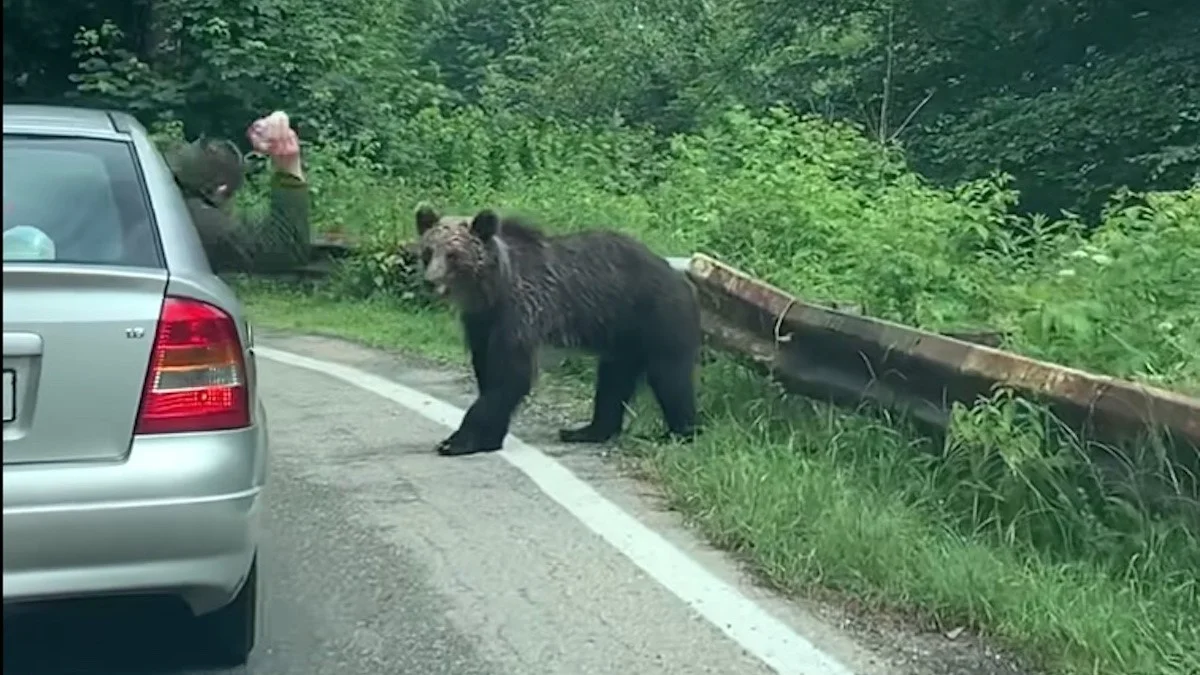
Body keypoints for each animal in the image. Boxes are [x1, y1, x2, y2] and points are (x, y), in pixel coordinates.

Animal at [417, 205, 700, 454]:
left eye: (453, 254)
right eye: (428, 251)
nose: (430, 281)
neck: (491, 289)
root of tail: (678, 275)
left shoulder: (520, 313)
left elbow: (510, 375)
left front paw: (458, 441)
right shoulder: (481, 322)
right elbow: (487, 371)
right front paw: (488, 438)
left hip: (658, 316)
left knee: (670, 376)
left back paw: (681, 431)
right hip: (623, 336)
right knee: (613, 379)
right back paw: (587, 430)